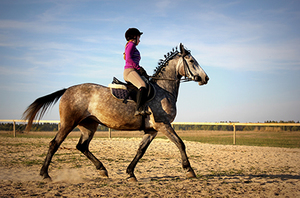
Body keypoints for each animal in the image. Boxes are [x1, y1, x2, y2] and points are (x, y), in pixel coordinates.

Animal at [22, 43, 209, 181]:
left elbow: (141, 150)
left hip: (89, 125)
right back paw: (45, 174)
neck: (163, 90)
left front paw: (130, 173)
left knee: (82, 146)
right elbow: (180, 143)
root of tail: (67, 89)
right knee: (54, 144)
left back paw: (102, 170)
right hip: (68, 123)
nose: (205, 78)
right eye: (192, 61)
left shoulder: (152, 130)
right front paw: (189, 170)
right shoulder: (163, 125)